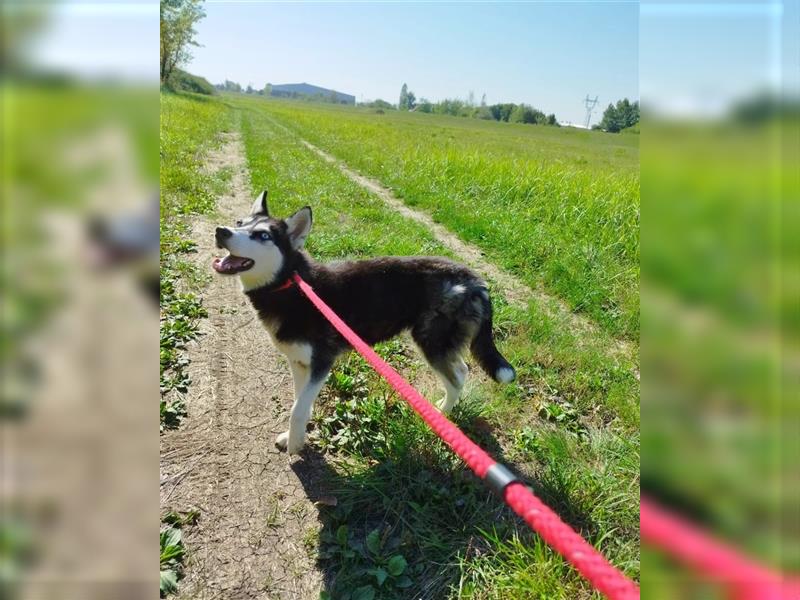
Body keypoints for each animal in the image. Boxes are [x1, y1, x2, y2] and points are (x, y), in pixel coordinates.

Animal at [212, 192, 516, 454]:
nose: (221, 231)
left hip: (431, 343)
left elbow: (296, 410)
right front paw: (294, 437)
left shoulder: (321, 362)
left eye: (263, 235)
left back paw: (441, 417)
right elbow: (300, 404)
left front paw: (295, 445)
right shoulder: (299, 363)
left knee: (455, 379)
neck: (292, 287)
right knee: (462, 371)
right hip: (439, 343)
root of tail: (474, 279)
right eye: (240, 223)